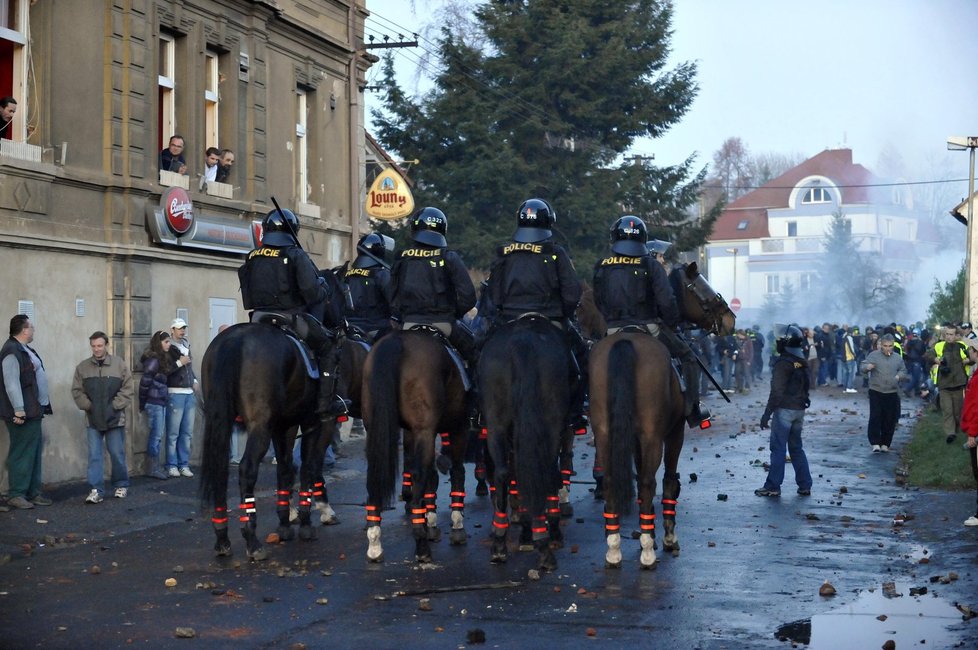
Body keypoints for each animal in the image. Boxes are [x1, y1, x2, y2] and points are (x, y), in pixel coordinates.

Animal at [196, 322, 342, 560]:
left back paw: (222, 538)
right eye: (336, 359)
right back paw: (252, 540)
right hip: (260, 427)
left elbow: (284, 469)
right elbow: (307, 468)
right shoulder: (311, 424)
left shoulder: (284, 427)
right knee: (247, 469)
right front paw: (305, 524)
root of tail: (235, 339)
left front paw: (284, 524)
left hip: (222, 422)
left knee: (220, 469)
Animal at [362, 326, 468, 560]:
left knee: (376, 473)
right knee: (421, 473)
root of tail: (397, 341)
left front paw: (432, 523)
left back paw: (375, 541)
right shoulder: (457, 428)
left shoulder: (412, 432)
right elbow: (456, 472)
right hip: (427, 429)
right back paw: (421, 544)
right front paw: (455, 525)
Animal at [476, 316, 568, 572]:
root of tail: (522, 342)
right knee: (545, 471)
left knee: (502, 473)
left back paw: (499, 542)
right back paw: (545, 545)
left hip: (496, 423)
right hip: (550, 423)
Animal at [588, 258, 732, 568]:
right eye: (701, 287)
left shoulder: (634, 438)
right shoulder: (673, 432)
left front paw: (649, 533)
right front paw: (664, 538)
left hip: (605, 433)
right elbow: (668, 481)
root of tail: (625, 342)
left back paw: (614, 547)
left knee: (613, 481)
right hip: (655, 436)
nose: (730, 319)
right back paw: (647, 552)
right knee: (647, 482)